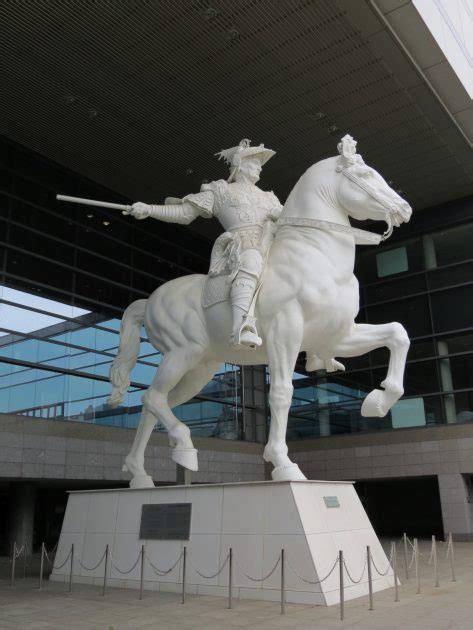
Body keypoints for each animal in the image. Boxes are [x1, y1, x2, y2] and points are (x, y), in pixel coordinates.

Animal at [109, 143, 412, 488]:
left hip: (199, 369)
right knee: (152, 398)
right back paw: (182, 445)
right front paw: (283, 464)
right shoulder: (286, 332)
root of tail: (149, 300)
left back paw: (141, 473)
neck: (317, 257)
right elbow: (281, 393)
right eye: (365, 174)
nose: (404, 209)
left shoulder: (337, 336)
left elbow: (398, 334)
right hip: (182, 353)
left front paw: (378, 401)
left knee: (154, 404)